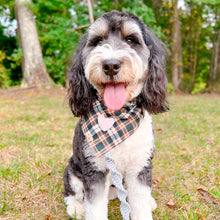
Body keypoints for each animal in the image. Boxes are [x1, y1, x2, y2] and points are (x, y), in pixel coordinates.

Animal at [63, 10, 168, 220]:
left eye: (130, 40)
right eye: (97, 41)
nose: (110, 65)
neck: (117, 116)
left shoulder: (139, 167)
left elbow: (140, 204)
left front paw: (145, 205)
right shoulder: (94, 169)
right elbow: (94, 207)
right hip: (72, 170)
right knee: (71, 193)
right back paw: (76, 207)